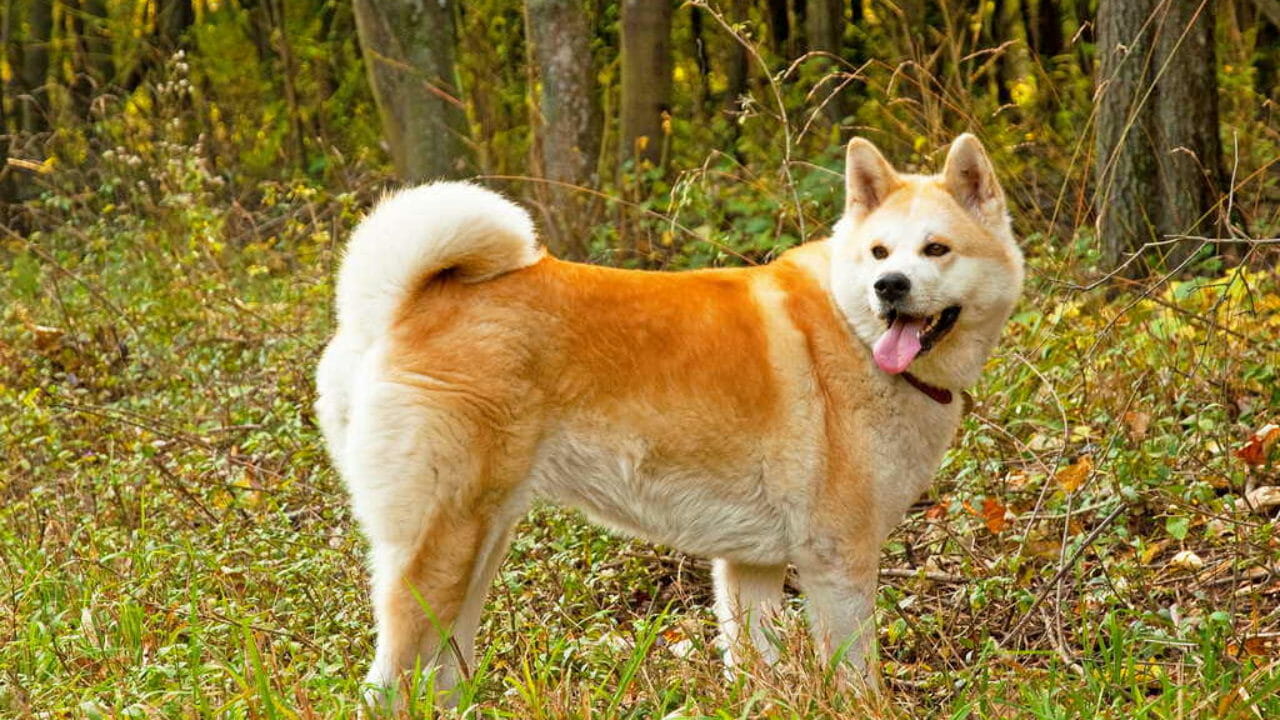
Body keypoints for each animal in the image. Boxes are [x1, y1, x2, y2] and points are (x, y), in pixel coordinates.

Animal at [314, 131, 1024, 696]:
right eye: (879, 253)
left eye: (936, 250)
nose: (889, 287)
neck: (850, 327)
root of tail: (405, 304)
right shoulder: (839, 563)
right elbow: (858, 682)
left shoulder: (750, 566)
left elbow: (758, 673)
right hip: (442, 552)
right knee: (386, 689)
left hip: (481, 546)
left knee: (443, 675)